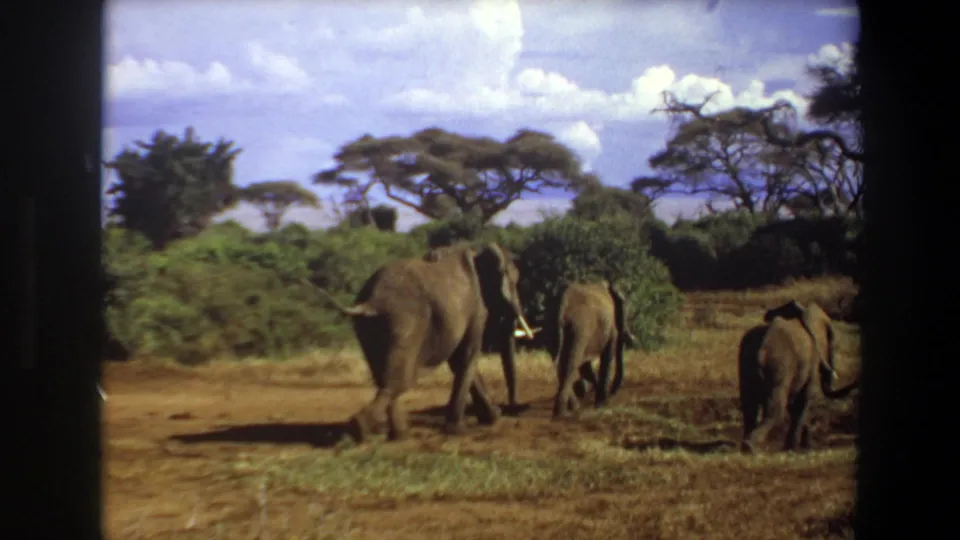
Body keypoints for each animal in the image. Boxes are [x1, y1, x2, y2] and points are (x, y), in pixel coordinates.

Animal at [306, 242, 535, 443]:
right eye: (515, 282)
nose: (511, 409)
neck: (477, 253)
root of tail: (370, 302)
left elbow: (459, 362)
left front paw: (492, 418)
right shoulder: (476, 309)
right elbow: (467, 358)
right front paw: (459, 429)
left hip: (368, 328)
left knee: (384, 378)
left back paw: (398, 436)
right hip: (405, 321)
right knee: (397, 382)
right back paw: (361, 430)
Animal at [547, 280, 634, 418]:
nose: (612, 395)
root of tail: (562, 303)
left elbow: (586, 367)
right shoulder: (611, 328)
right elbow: (607, 357)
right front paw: (602, 403)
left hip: (552, 326)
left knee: (560, 362)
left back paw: (571, 408)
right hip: (580, 327)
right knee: (571, 363)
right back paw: (562, 413)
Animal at [737, 300, 860, 453]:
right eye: (834, 345)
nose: (833, 374)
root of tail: (761, 349)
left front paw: (805, 445)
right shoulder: (812, 359)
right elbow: (803, 400)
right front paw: (794, 449)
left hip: (746, 362)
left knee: (749, 405)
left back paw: (747, 446)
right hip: (779, 365)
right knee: (775, 409)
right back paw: (751, 447)